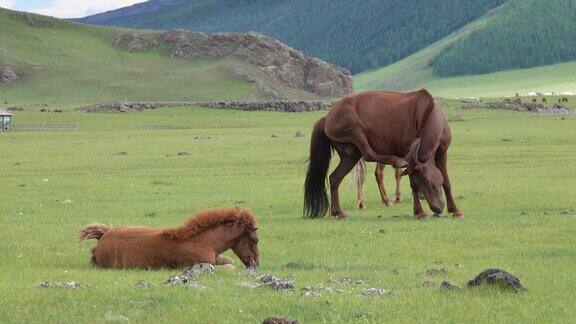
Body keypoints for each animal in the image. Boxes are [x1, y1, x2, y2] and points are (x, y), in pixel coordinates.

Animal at [80, 208, 260, 268]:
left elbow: (229, 261)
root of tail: (104, 235)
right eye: (255, 240)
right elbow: (230, 266)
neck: (202, 241)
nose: (256, 265)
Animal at [306, 90, 464, 219]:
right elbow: (412, 183)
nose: (439, 207)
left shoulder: (441, 153)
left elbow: (447, 182)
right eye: (426, 180)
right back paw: (395, 163)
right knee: (369, 154)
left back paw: (338, 212)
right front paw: (419, 212)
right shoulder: (411, 160)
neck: (428, 114)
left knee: (334, 178)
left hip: (350, 155)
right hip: (356, 132)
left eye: (438, 181)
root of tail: (327, 117)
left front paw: (455, 210)